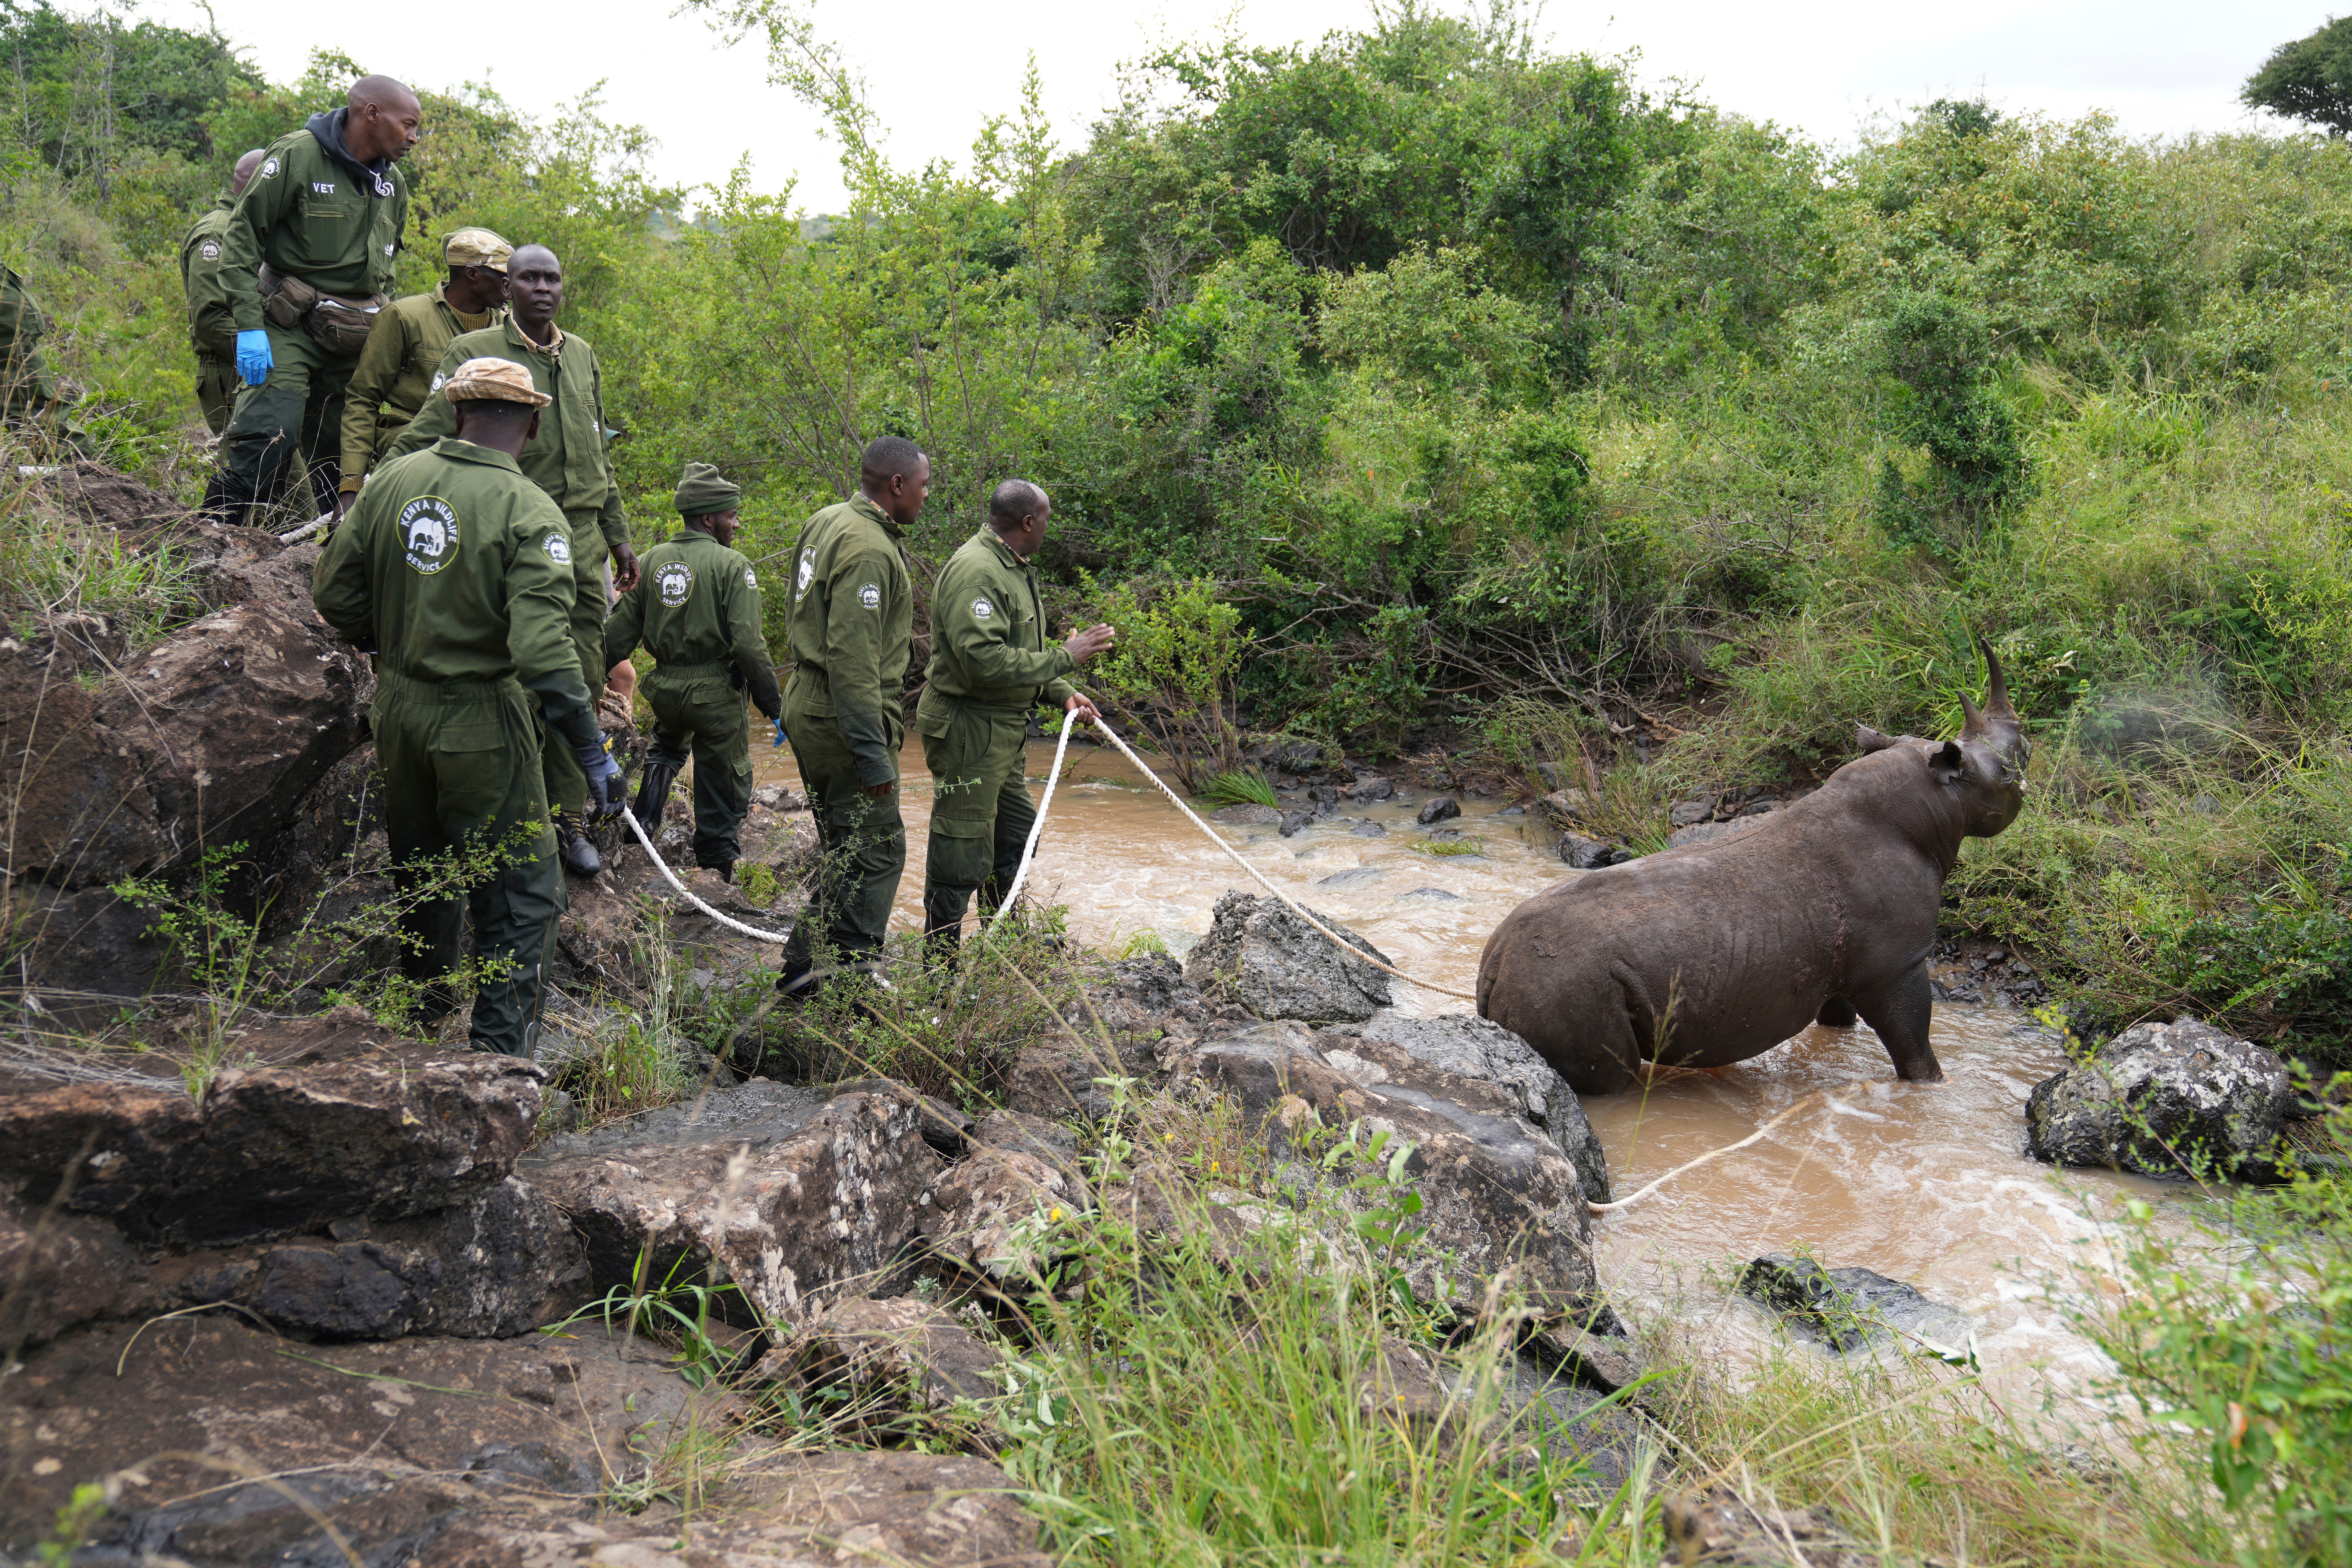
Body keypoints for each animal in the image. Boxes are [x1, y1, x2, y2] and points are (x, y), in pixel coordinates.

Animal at [1477, 644, 2029, 1096]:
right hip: (1568, 987)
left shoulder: (1842, 961)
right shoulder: (1900, 963)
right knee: (1611, 1082)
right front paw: (1938, 1092)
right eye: (2008, 774)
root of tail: (1493, 967)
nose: (2027, 777)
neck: (1937, 800)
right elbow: (1915, 1049)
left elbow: (1839, 1021)